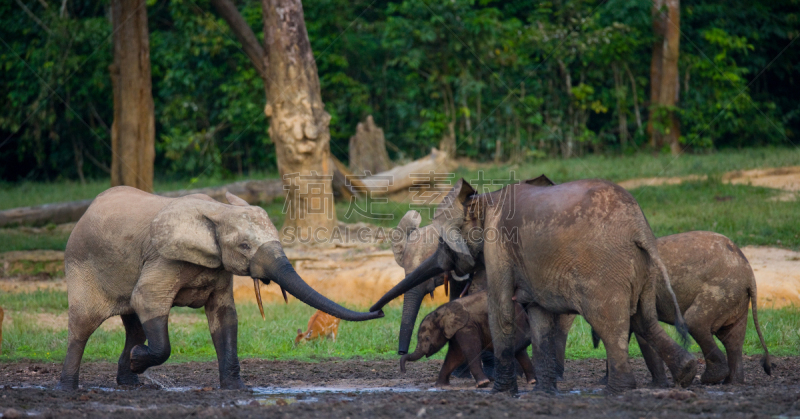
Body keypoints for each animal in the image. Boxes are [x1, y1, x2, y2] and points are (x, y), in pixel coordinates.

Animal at [57, 187, 382, 390]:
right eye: (245, 246)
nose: (378, 310)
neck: (219, 212)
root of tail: (87, 210)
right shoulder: (163, 258)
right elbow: (148, 300)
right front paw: (140, 358)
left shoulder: (219, 268)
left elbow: (225, 316)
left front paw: (238, 389)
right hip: (81, 264)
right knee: (84, 325)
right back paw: (69, 389)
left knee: (134, 326)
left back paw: (131, 382)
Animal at [400, 292, 536, 388]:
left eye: (427, 338)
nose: (403, 371)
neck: (442, 311)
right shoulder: (455, 330)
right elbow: (456, 355)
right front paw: (440, 385)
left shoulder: (467, 326)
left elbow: (470, 351)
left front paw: (483, 384)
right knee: (520, 352)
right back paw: (532, 381)